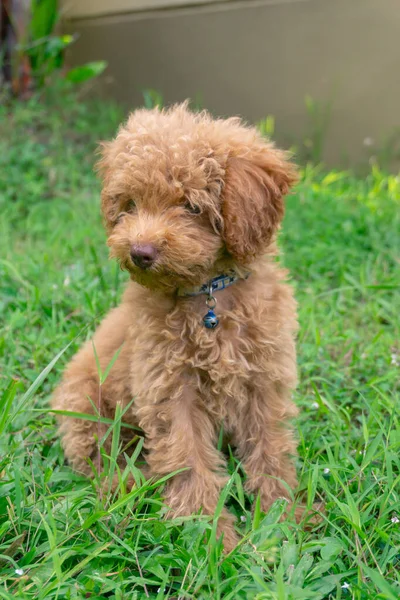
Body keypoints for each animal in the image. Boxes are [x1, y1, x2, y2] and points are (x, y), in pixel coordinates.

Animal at [50, 102, 300, 548]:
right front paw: (212, 538)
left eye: (191, 206)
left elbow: (271, 448)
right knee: (99, 460)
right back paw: (129, 488)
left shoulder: (264, 380)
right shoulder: (169, 387)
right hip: (84, 404)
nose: (140, 251)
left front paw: (280, 518)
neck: (208, 295)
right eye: (130, 204)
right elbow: (188, 458)